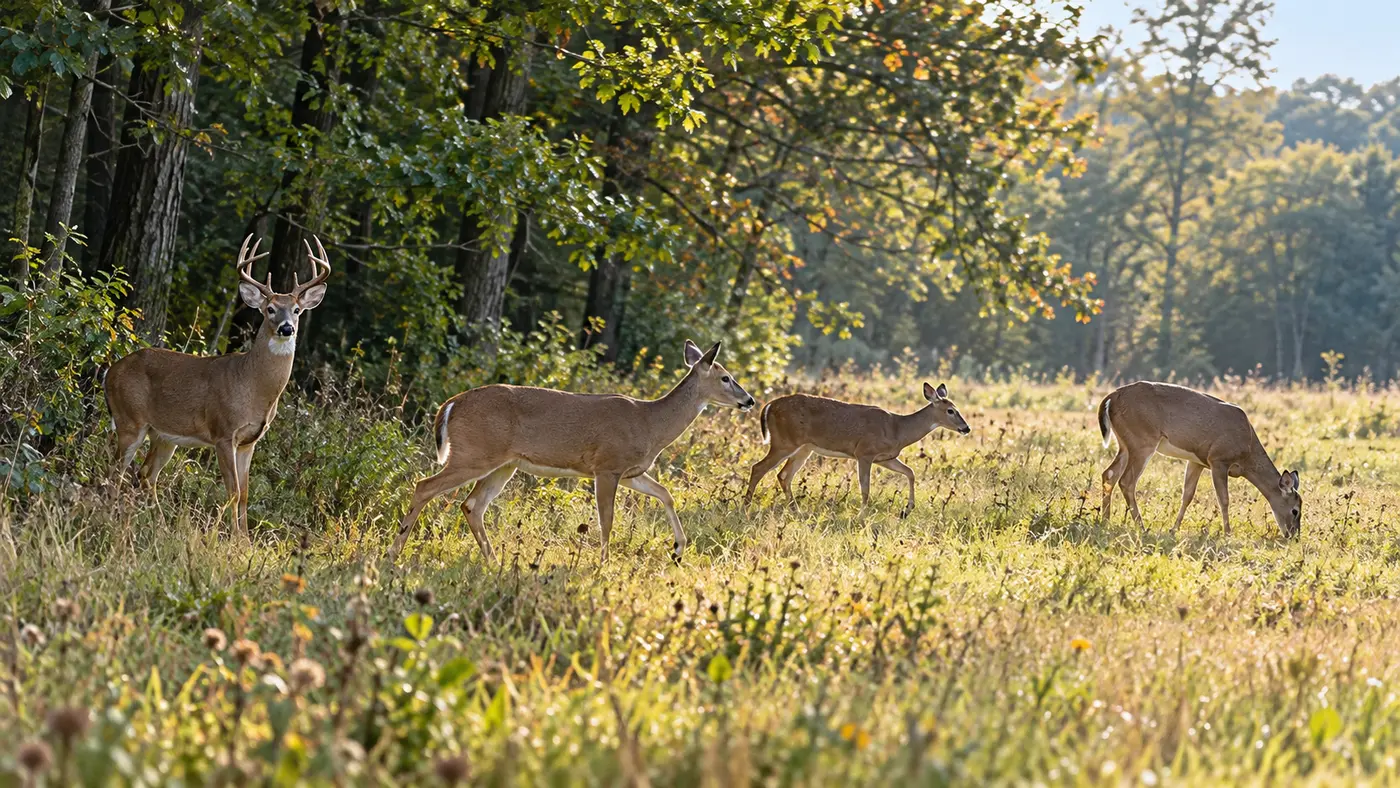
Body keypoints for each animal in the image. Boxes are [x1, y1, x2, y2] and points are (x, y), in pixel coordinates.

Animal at [103, 234, 331, 539]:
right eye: (270, 309)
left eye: (297, 310)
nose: (287, 328)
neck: (253, 388)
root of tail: (110, 371)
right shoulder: (223, 433)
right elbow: (232, 492)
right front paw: (230, 538)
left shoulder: (249, 441)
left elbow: (245, 494)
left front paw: (246, 540)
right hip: (129, 419)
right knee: (115, 472)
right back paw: (110, 521)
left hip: (163, 436)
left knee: (146, 476)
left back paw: (158, 526)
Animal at [389, 340, 756, 563]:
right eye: (726, 377)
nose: (749, 400)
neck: (650, 423)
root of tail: (450, 404)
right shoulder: (606, 466)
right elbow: (607, 519)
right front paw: (604, 563)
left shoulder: (630, 471)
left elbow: (665, 493)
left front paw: (678, 549)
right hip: (474, 454)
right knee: (424, 486)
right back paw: (394, 554)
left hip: (503, 463)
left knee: (471, 505)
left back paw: (493, 560)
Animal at [744, 382, 971, 515]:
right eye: (951, 410)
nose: (966, 428)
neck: (897, 429)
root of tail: (769, 406)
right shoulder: (864, 452)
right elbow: (865, 487)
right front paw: (862, 516)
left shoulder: (885, 457)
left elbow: (910, 472)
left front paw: (907, 510)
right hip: (784, 442)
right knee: (758, 467)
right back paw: (745, 506)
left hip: (804, 448)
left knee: (783, 475)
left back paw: (796, 511)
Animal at [1097, 381, 1301, 538]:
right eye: (1295, 510)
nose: (1293, 536)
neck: (1247, 452)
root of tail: (1111, 398)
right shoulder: (1218, 459)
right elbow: (1224, 499)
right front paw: (1228, 533)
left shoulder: (1197, 461)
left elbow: (1187, 495)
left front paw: (1174, 529)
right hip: (1142, 440)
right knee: (1126, 481)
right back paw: (1141, 526)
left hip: (1125, 444)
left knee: (1109, 474)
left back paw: (1105, 521)